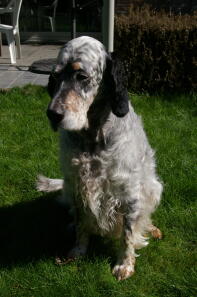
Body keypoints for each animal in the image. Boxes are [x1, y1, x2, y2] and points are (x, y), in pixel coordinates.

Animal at [36, 35, 162, 278]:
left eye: (82, 76)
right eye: (55, 76)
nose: (52, 114)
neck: (93, 137)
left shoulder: (129, 193)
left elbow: (128, 233)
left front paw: (124, 265)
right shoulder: (77, 186)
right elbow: (82, 223)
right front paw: (77, 250)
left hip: (154, 186)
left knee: (144, 215)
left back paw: (151, 228)